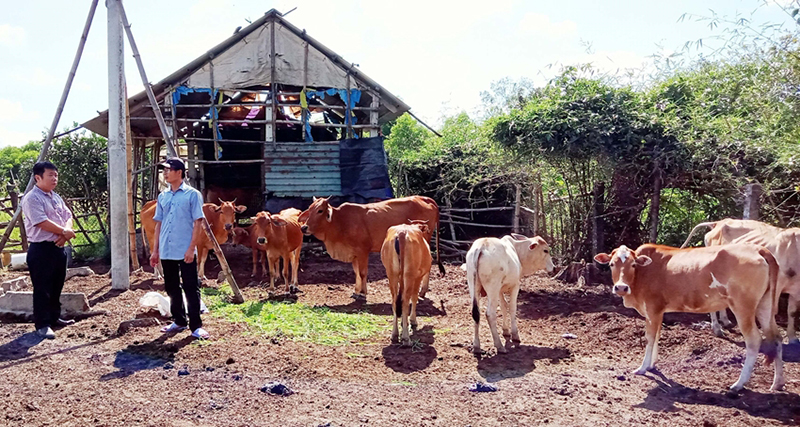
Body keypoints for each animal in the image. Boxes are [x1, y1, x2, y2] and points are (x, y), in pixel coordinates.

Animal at [296, 197, 444, 300]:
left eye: (320, 210)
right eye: (310, 209)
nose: (304, 227)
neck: (341, 222)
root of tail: (425, 198)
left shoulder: (362, 251)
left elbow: (362, 273)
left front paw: (362, 293)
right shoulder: (354, 253)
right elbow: (356, 272)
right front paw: (356, 291)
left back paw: (422, 291)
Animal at [596, 244, 784, 394]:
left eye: (633, 264)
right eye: (611, 264)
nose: (621, 287)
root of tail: (757, 248)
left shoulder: (652, 308)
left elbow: (650, 337)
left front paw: (642, 368)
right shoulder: (658, 311)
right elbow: (657, 336)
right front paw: (652, 365)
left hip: (743, 307)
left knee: (754, 340)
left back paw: (738, 384)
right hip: (765, 305)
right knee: (776, 337)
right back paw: (777, 383)